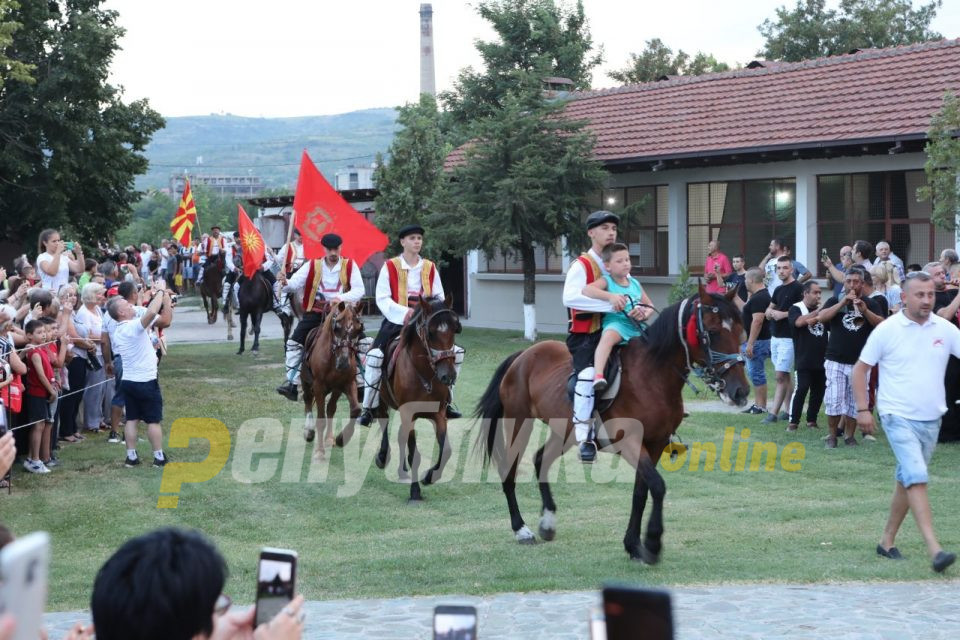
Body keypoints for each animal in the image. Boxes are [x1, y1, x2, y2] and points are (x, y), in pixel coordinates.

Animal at [302, 302, 366, 460]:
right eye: (336, 327)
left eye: (359, 329)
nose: (343, 363)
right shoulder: (318, 386)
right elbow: (320, 419)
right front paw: (319, 452)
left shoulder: (348, 383)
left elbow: (355, 410)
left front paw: (341, 438)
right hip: (306, 382)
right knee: (307, 400)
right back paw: (309, 431)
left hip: (336, 389)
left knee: (331, 408)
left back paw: (329, 438)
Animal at [336, 298, 460, 502]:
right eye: (431, 333)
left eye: (453, 330)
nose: (448, 376)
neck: (424, 374)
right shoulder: (408, 413)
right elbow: (414, 454)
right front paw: (415, 492)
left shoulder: (438, 414)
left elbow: (447, 451)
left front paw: (430, 476)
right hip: (382, 400)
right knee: (384, 422)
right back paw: (382, 455)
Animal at [472, 284, 752, 560]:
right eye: (712, 333)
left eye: (740, 331)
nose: (740, 391)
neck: (651, 376)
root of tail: (523, 355)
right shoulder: (630, 443)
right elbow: (657, 486)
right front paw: (652, 542)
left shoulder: (655, 444)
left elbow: (641, 492)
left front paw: (633, 544)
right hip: (519, 421)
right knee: (509, 470)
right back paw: (521, 529)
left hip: (565, 432)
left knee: (541, 459)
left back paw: (548, 523)